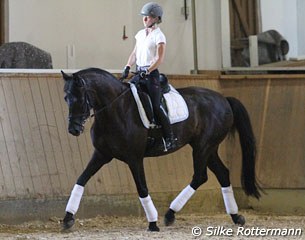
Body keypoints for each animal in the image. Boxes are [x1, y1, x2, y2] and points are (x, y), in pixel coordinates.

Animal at [61, 67, 258, 231]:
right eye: (66, 98)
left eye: (79, 98)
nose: (73, 130)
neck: (116, 109)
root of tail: (224, 99)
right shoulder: (101, 155)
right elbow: (81, 180)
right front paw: (67, 219)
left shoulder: (134, 158)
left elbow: (142, 188)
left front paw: (152, 223)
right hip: (208, 148)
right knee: (222, 174)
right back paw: (235, 216)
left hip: (203, 147)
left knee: (200, 176)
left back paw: (170, 214)